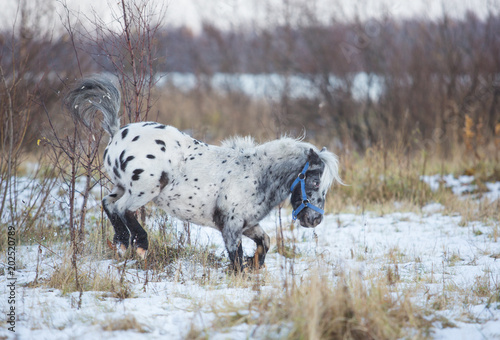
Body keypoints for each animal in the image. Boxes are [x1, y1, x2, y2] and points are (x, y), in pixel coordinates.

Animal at [63, 76, 344, 270]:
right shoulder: (231, 226)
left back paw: (122, 244)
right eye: (314, 181)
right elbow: (236, 259)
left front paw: (256, 265)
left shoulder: (248, 224)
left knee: (108, 204)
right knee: (123, 209)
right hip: (145, 190)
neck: (256, 174)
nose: (314, 220)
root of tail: (117, 133)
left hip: (122, 187)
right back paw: (140, 246)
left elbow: (265, 243)